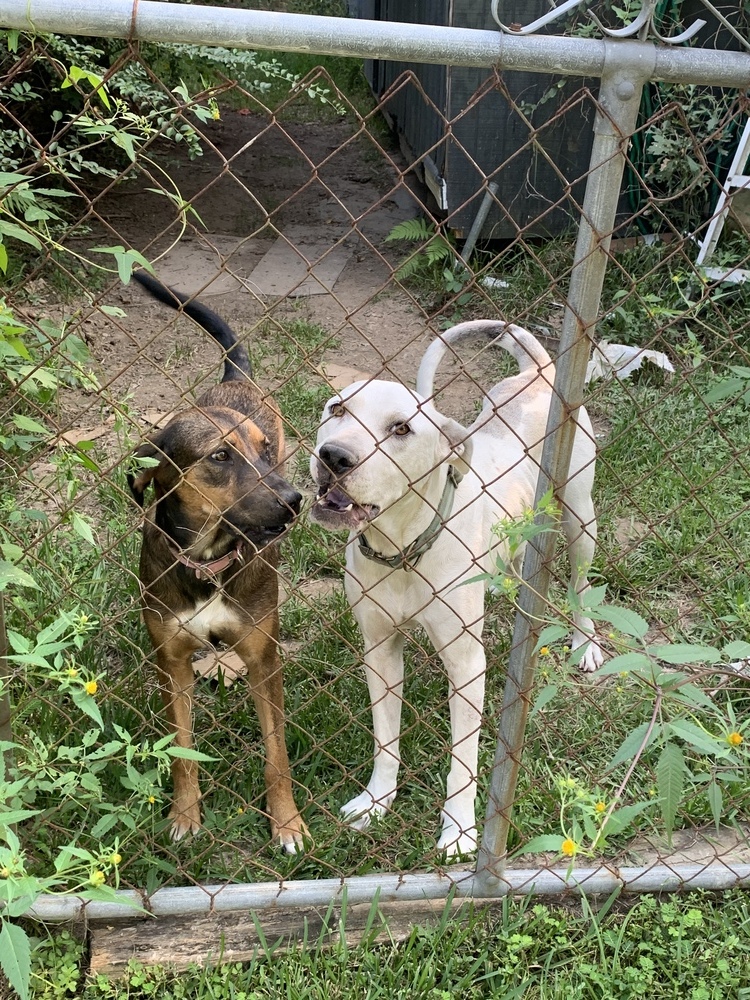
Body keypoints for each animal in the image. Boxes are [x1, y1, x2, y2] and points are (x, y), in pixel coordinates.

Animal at [129, 272, 308, 852]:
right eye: (219, 456)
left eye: (262, 449)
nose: (295, 501)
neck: (209, 561)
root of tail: (233, 378)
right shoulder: (171, 662)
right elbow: (182, 754)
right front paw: (184, 817)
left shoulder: (263, 660)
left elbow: (277, 754)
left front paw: (287, 823)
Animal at [308, 320, 604, 852]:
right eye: (336, 409)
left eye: (401, 428)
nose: (333, 456)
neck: (403, 550)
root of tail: (538, 371)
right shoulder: (379, 649)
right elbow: (386, 740)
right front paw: (377, 801)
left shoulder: (467, 664)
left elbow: (462, 761)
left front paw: (460, 830)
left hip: (580, 518)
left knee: (579, 583)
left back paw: (585, 641)